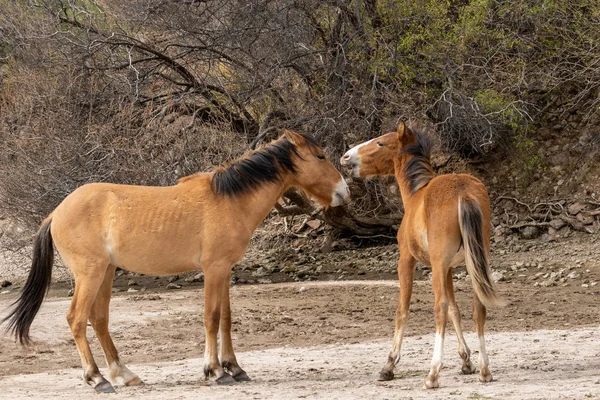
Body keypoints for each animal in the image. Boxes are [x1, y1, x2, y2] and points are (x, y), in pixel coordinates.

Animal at [3, 130, 352, 392]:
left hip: (106, 272)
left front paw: (235, 368)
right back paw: (97, 379)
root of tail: (56, 212)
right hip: (89, 273)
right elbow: (211, 317)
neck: (229, 200)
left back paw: (123, 374)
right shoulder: (214, 269)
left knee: (98, 320)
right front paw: (215, 371)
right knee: (77, 319)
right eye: (320, 156)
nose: (344, 192)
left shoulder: (226, 270)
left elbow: (226, 318)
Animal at [342, 121, 502, 388]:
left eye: (380, 143)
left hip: (437, 266)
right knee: (477, 306)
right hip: (475, 264)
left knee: (440, 307)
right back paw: (484, 370)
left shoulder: (408, 261)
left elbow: (403, 310)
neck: (416, 196)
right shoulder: (448, 268)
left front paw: (389, 366)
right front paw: (466, 361)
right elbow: (455, 310)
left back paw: (432, 374)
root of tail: (463, 191)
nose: (346, 157)